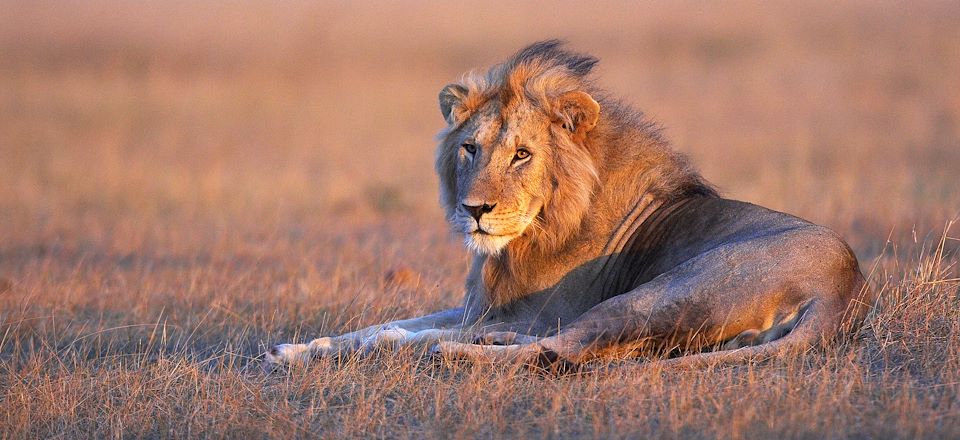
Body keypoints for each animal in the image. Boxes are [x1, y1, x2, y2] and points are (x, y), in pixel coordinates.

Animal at [264, 40, 876, 372]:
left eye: (522, 154)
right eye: (470, 148)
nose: (476, 210)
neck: (527, 238)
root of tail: (846, 288)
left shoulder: (529, 310)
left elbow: (395, 337)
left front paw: (315, 351)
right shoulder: (480, 307)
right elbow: (383, 324)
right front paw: (298, 348)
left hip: (665, 291)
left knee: (563, 349)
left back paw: (463, 355)